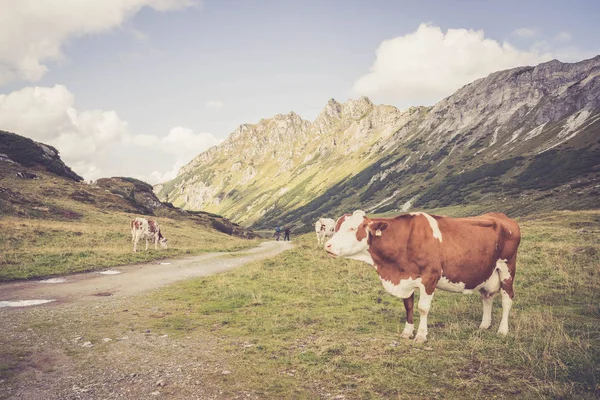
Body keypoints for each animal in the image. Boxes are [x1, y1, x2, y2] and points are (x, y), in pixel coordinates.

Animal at [326, 209, 516, 344]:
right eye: (336, 228)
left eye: (352, 228)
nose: (327, 245)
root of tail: (501, 216)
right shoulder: (406, 279)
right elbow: (408, 306)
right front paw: (407, 332)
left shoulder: (430, 277)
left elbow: (422, 308)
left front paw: (421, 335)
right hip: (488, 273)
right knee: (487, 297)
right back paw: (485, 325)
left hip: (507, 268)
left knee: (507, 299)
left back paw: (503, 330)